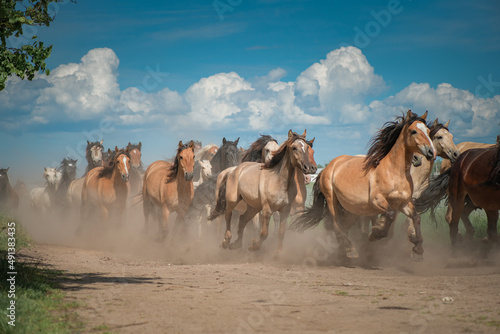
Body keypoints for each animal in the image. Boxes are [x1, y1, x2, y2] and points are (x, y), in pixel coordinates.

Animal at [292, 111, 436, 260]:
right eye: (414, 131)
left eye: (428, 131)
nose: (431, 152)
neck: (394, 172)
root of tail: (328, 167)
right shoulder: (377, 200)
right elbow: (390, 215)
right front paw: (375, 233)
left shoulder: (403, 203)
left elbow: (416, 217)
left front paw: (418, 249)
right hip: (332, 200)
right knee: (336, 225)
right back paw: (350, 249)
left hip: (350, 208)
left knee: (344, 226)